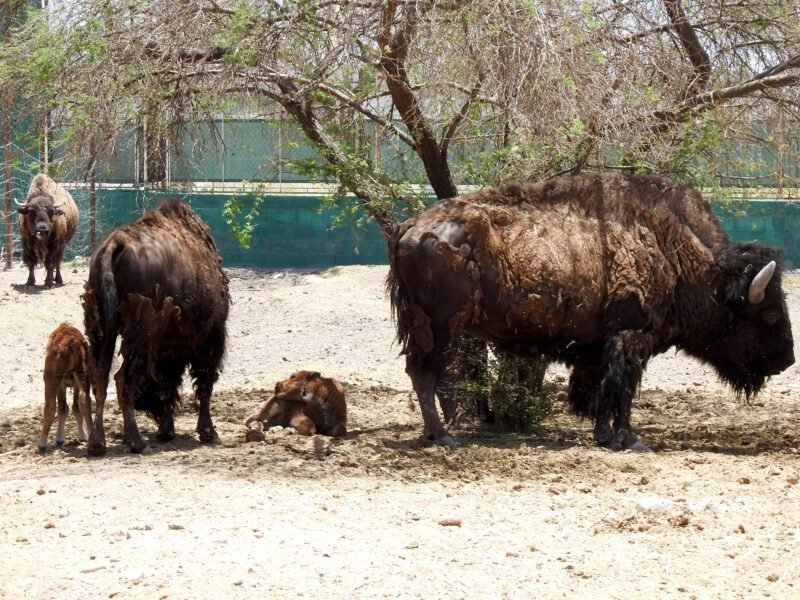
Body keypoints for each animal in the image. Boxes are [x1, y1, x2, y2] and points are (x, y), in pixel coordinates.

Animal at [82, 199, 230, 455]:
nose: (144, 405)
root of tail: (114, 245)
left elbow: (166, 384)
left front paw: (166, 430)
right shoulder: (208, 340)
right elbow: (203, 383)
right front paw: (208, 432)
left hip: (101, 330)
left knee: (100, 376)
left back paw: (97, 443)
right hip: (140, 338)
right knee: (124, 379)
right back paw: (136, 441)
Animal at [387, 174, 795, 449]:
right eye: (770, 314)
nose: (787, 360)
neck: (673, 251)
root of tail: (409, 226)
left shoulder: (601, 345)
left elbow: (602, 389)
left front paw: (603, 436)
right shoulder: (632, 337)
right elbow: (623, 389)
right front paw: (630, 440)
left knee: (429, 373)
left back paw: (441, 432)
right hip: (439, 327)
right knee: (423, 372)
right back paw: (442, 436)